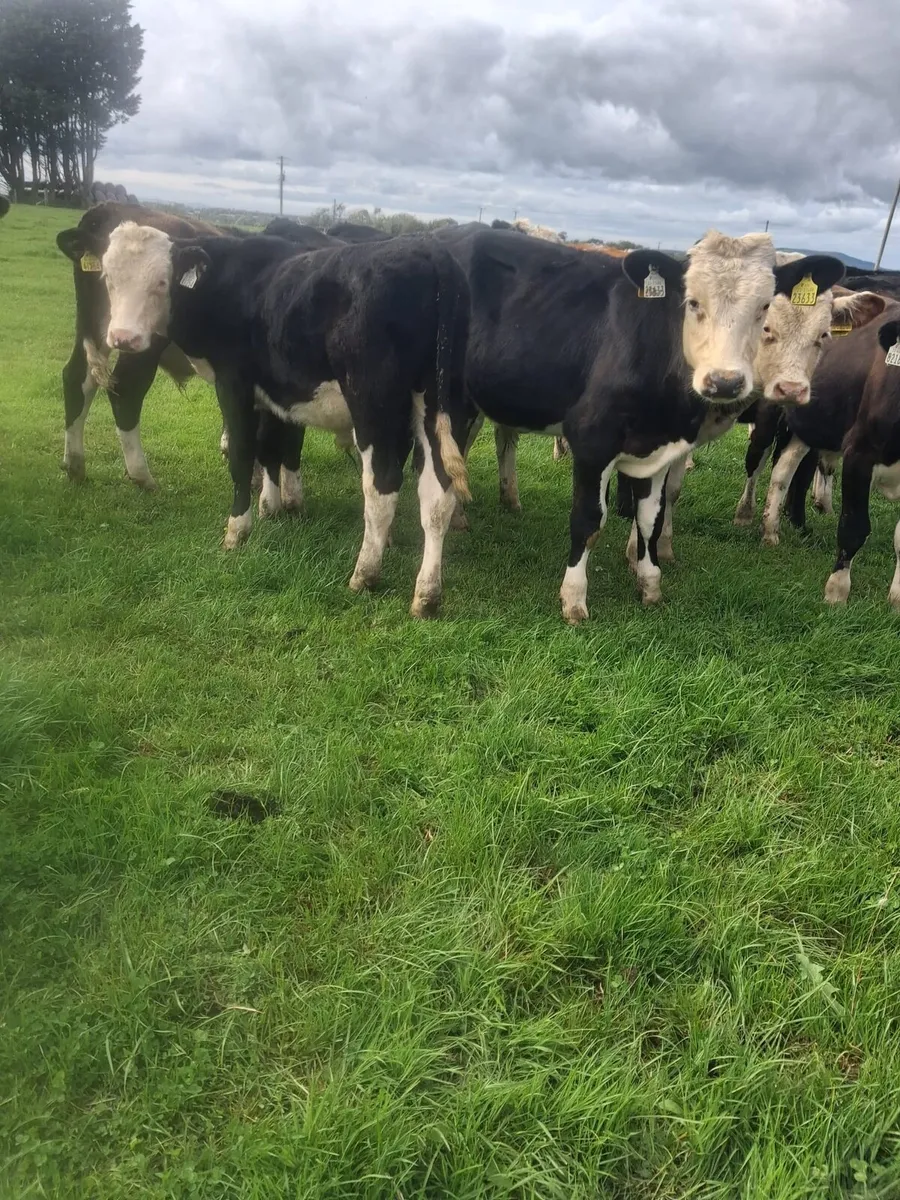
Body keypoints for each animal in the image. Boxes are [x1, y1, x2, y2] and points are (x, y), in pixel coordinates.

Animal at [99, 223, 472, 617]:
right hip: (443, 407)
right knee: (438, 495)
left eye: (161, 281)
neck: (228, 281)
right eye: (109, 279)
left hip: (375, 406)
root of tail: (430, 251)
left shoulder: (234, 385)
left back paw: (366, 573)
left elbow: (243, 455)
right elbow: (271, 448)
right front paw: (274, 505)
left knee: (382, 486)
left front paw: (238, 529)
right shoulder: (273, 394)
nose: (122, 338)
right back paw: (427, 595)